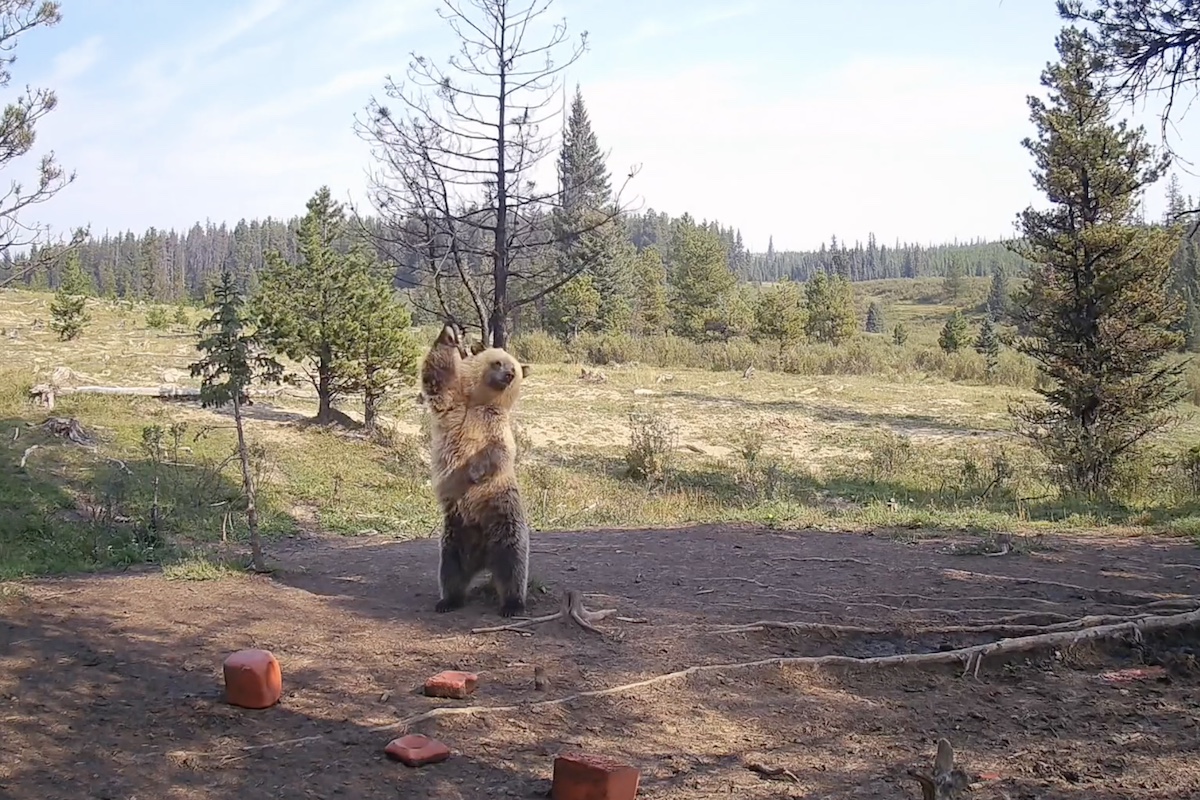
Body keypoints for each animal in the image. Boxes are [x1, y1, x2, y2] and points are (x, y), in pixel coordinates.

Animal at [420, 323, 532, 617]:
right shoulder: (453, 406)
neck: (480, 403)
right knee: (452, 569)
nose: (508, 374)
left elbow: (498, 452)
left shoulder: (495, 427)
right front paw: (449, 335)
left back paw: (512, 604)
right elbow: (436, 377)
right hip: (457, 534)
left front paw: (472, 472)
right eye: (498, 361)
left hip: (503, 516)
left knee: (513, 562)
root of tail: (483, 557)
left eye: (514, 369)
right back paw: (448, 601)